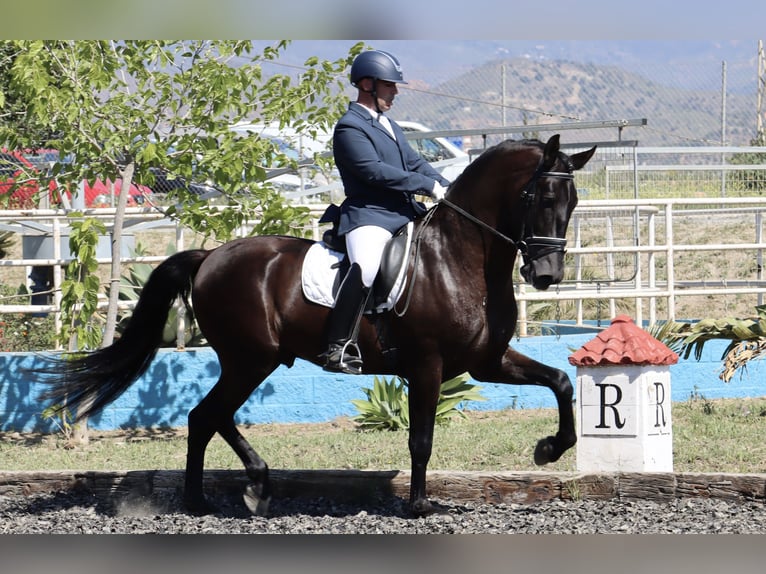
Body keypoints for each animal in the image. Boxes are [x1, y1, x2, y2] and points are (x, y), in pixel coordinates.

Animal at [34, 134, 600, 516]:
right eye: (539, 199)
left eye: (572, 203)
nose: (546, 276)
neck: (458, 258)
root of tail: (210, 255)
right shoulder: (428, 366)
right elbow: (421, 439)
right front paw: (419, 505)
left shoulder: (485, 362)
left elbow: (560, 381)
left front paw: (550, 450)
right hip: (251, 358)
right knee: (207, 415)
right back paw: (214, 497)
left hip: (252, 360)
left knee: (208, 417)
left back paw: (247, 488)